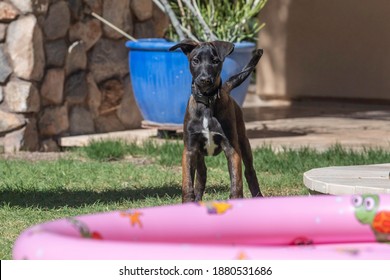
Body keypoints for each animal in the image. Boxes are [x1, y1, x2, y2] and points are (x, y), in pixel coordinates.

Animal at [169, 39, 264, 202]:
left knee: (250, 171)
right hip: (199, 155)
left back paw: (259, 196)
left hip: (244, 142)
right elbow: (187, 183)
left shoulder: (232, 149)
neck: (207, 102)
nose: (204, 79)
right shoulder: (189, 150)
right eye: (195, 61)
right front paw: (188, 202)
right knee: (202, 175)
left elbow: (236, 182)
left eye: (215, 61)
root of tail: (225, 89)